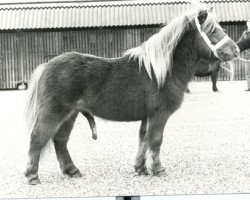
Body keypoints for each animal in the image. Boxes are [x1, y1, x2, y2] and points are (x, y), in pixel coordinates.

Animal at [24, 6, 239, 184]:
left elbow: (143, 140)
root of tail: (46, 66)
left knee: (60, 141)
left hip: (70, 115)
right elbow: (155, 140)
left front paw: (140, 168)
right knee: (38, 138)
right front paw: (158, 169)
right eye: (212, 31)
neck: (160, 72)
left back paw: (72, 170)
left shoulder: (147, 116)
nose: (235, 50)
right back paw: (32, 175)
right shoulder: (159, 115)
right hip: (54, 112)